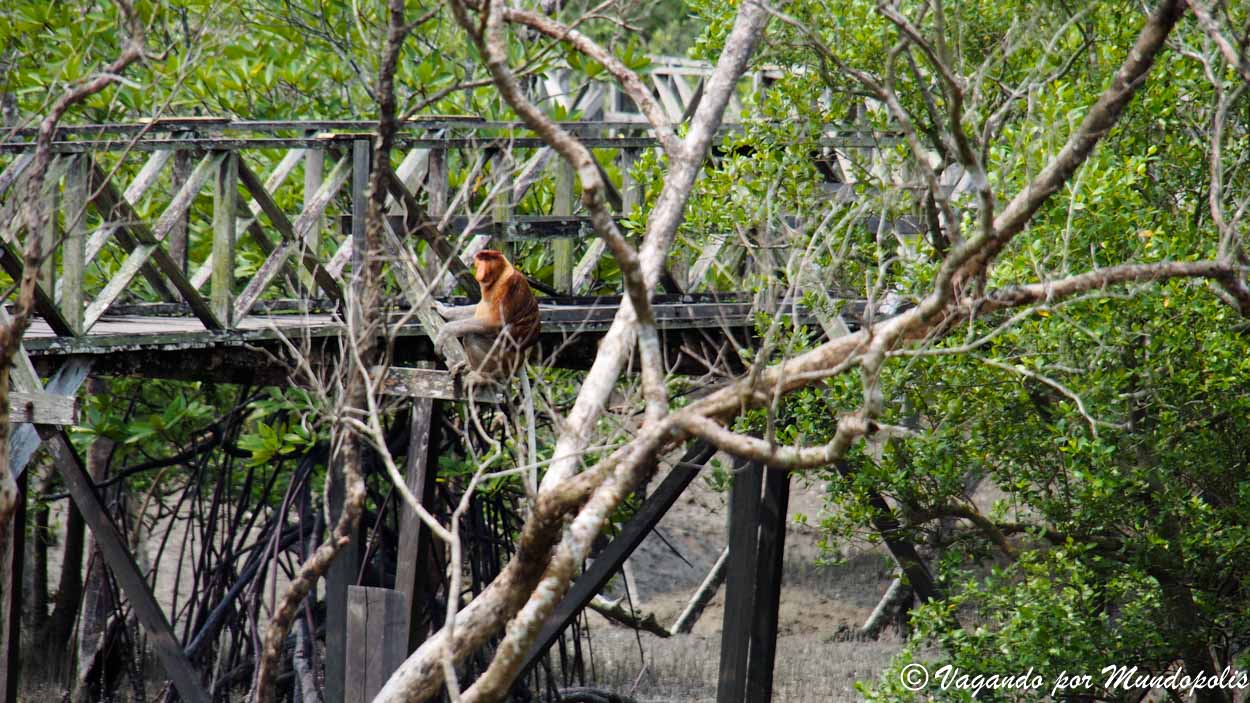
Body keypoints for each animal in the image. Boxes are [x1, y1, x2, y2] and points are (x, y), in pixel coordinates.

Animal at [434, 250, 540, 382]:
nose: (481, 270)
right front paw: (443, 309)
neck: (499, 276)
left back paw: (482, 374)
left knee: (472, 336)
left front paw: (444, 333)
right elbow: (478, 309)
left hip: (505, 358)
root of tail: (522, 357)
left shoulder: (509, 285)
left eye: (488, 259)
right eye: (481, 259)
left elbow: (494, 322)